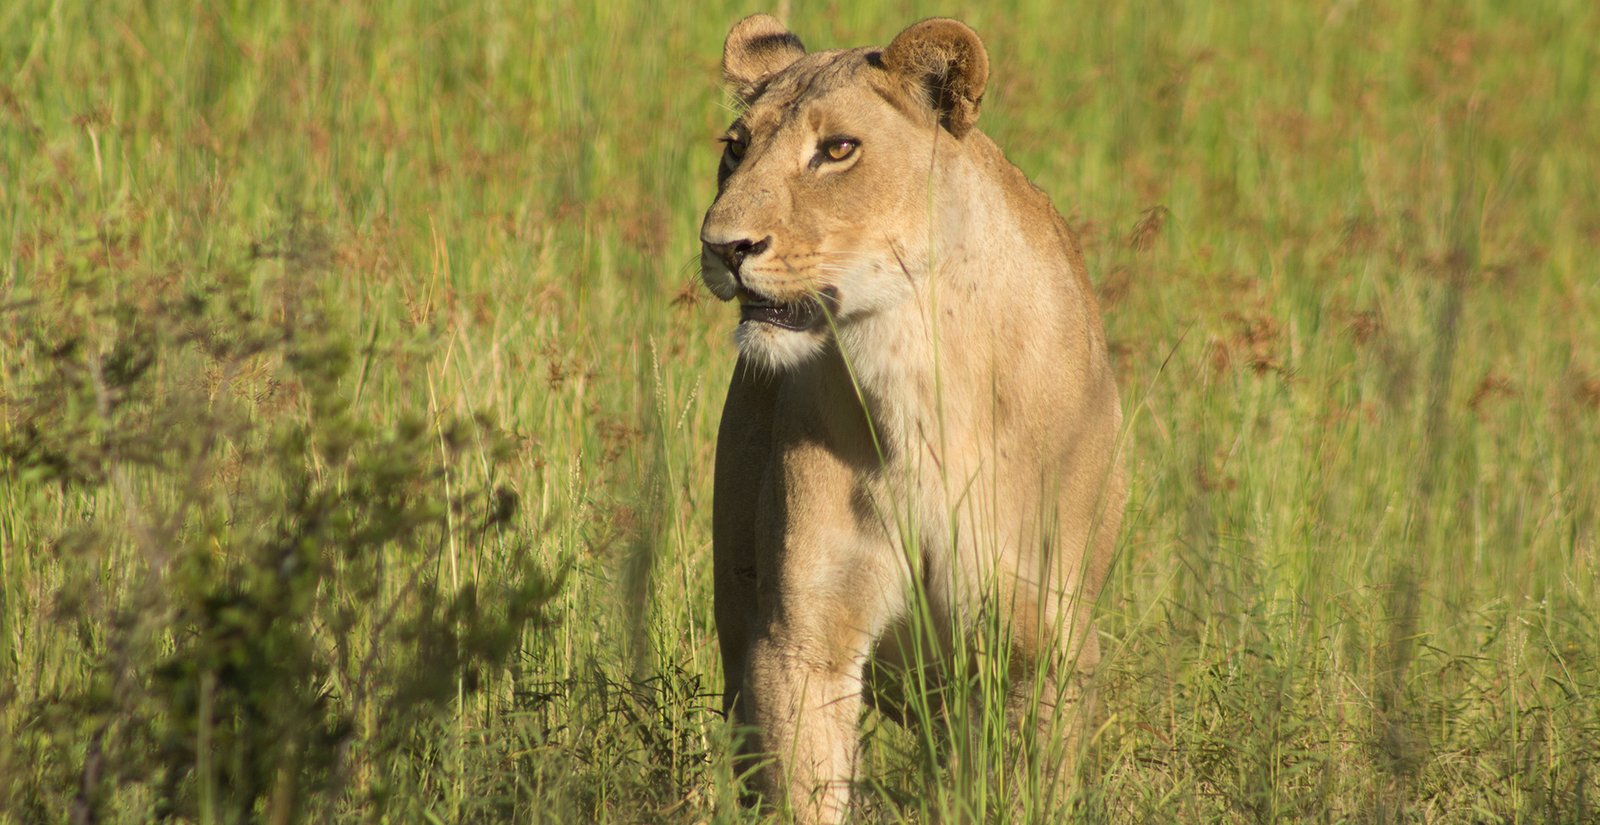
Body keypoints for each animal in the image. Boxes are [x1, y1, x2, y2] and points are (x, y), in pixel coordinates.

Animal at [700, 14, 1126, 822]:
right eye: (735, 147)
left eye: (837, 150)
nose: (723, 247)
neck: (913, 370)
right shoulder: (798, 640)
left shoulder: (1046, 648)